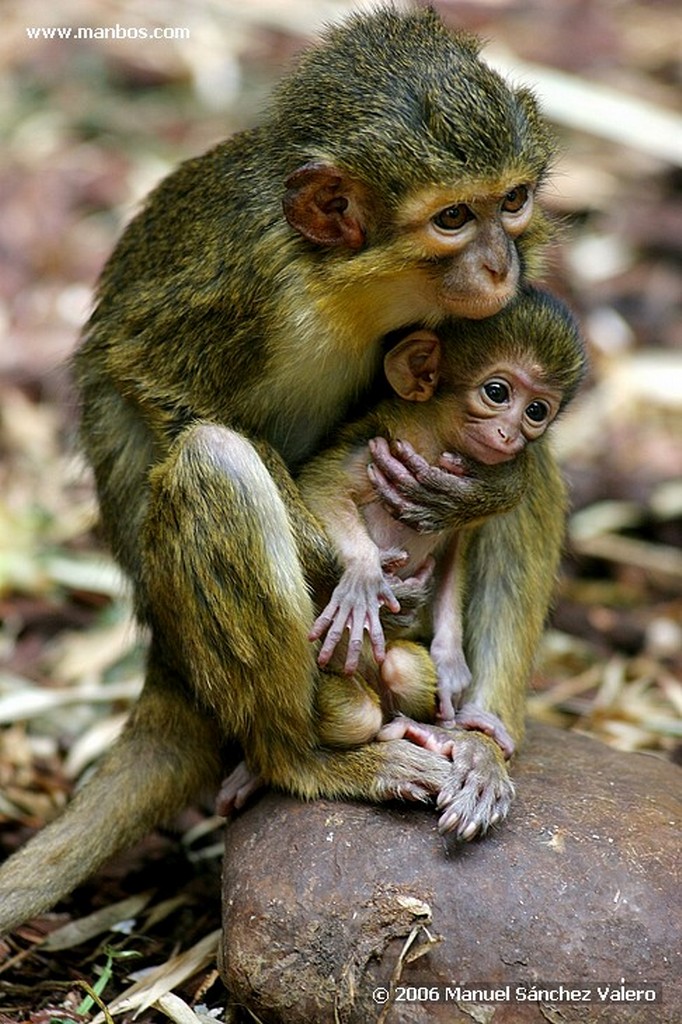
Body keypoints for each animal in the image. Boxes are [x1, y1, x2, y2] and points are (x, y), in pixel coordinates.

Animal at [303, 288, 585, 761]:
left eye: (536, 410)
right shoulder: (384, 441)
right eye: (496, 392)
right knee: (356, 717)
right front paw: (363, 577)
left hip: (396, 672)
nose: (510, 434)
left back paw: (413, 729)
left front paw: (450, 662)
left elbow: (453, 560)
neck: (439, 441)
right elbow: (322, 487)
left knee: (399, 676)